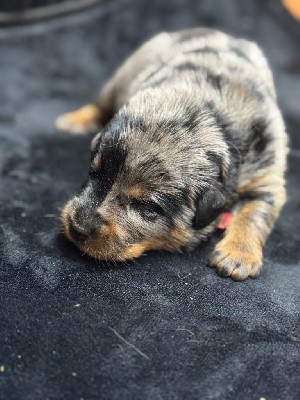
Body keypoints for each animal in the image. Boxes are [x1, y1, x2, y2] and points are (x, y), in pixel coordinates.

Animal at [55, 28, 288, 280]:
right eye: (93, 173)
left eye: (146, 207)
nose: (77, 228)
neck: (212, 116)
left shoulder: (266, 175)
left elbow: (255, 212)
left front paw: (238, 256)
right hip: (120, 79)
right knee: (100, 105)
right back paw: (73, 120)